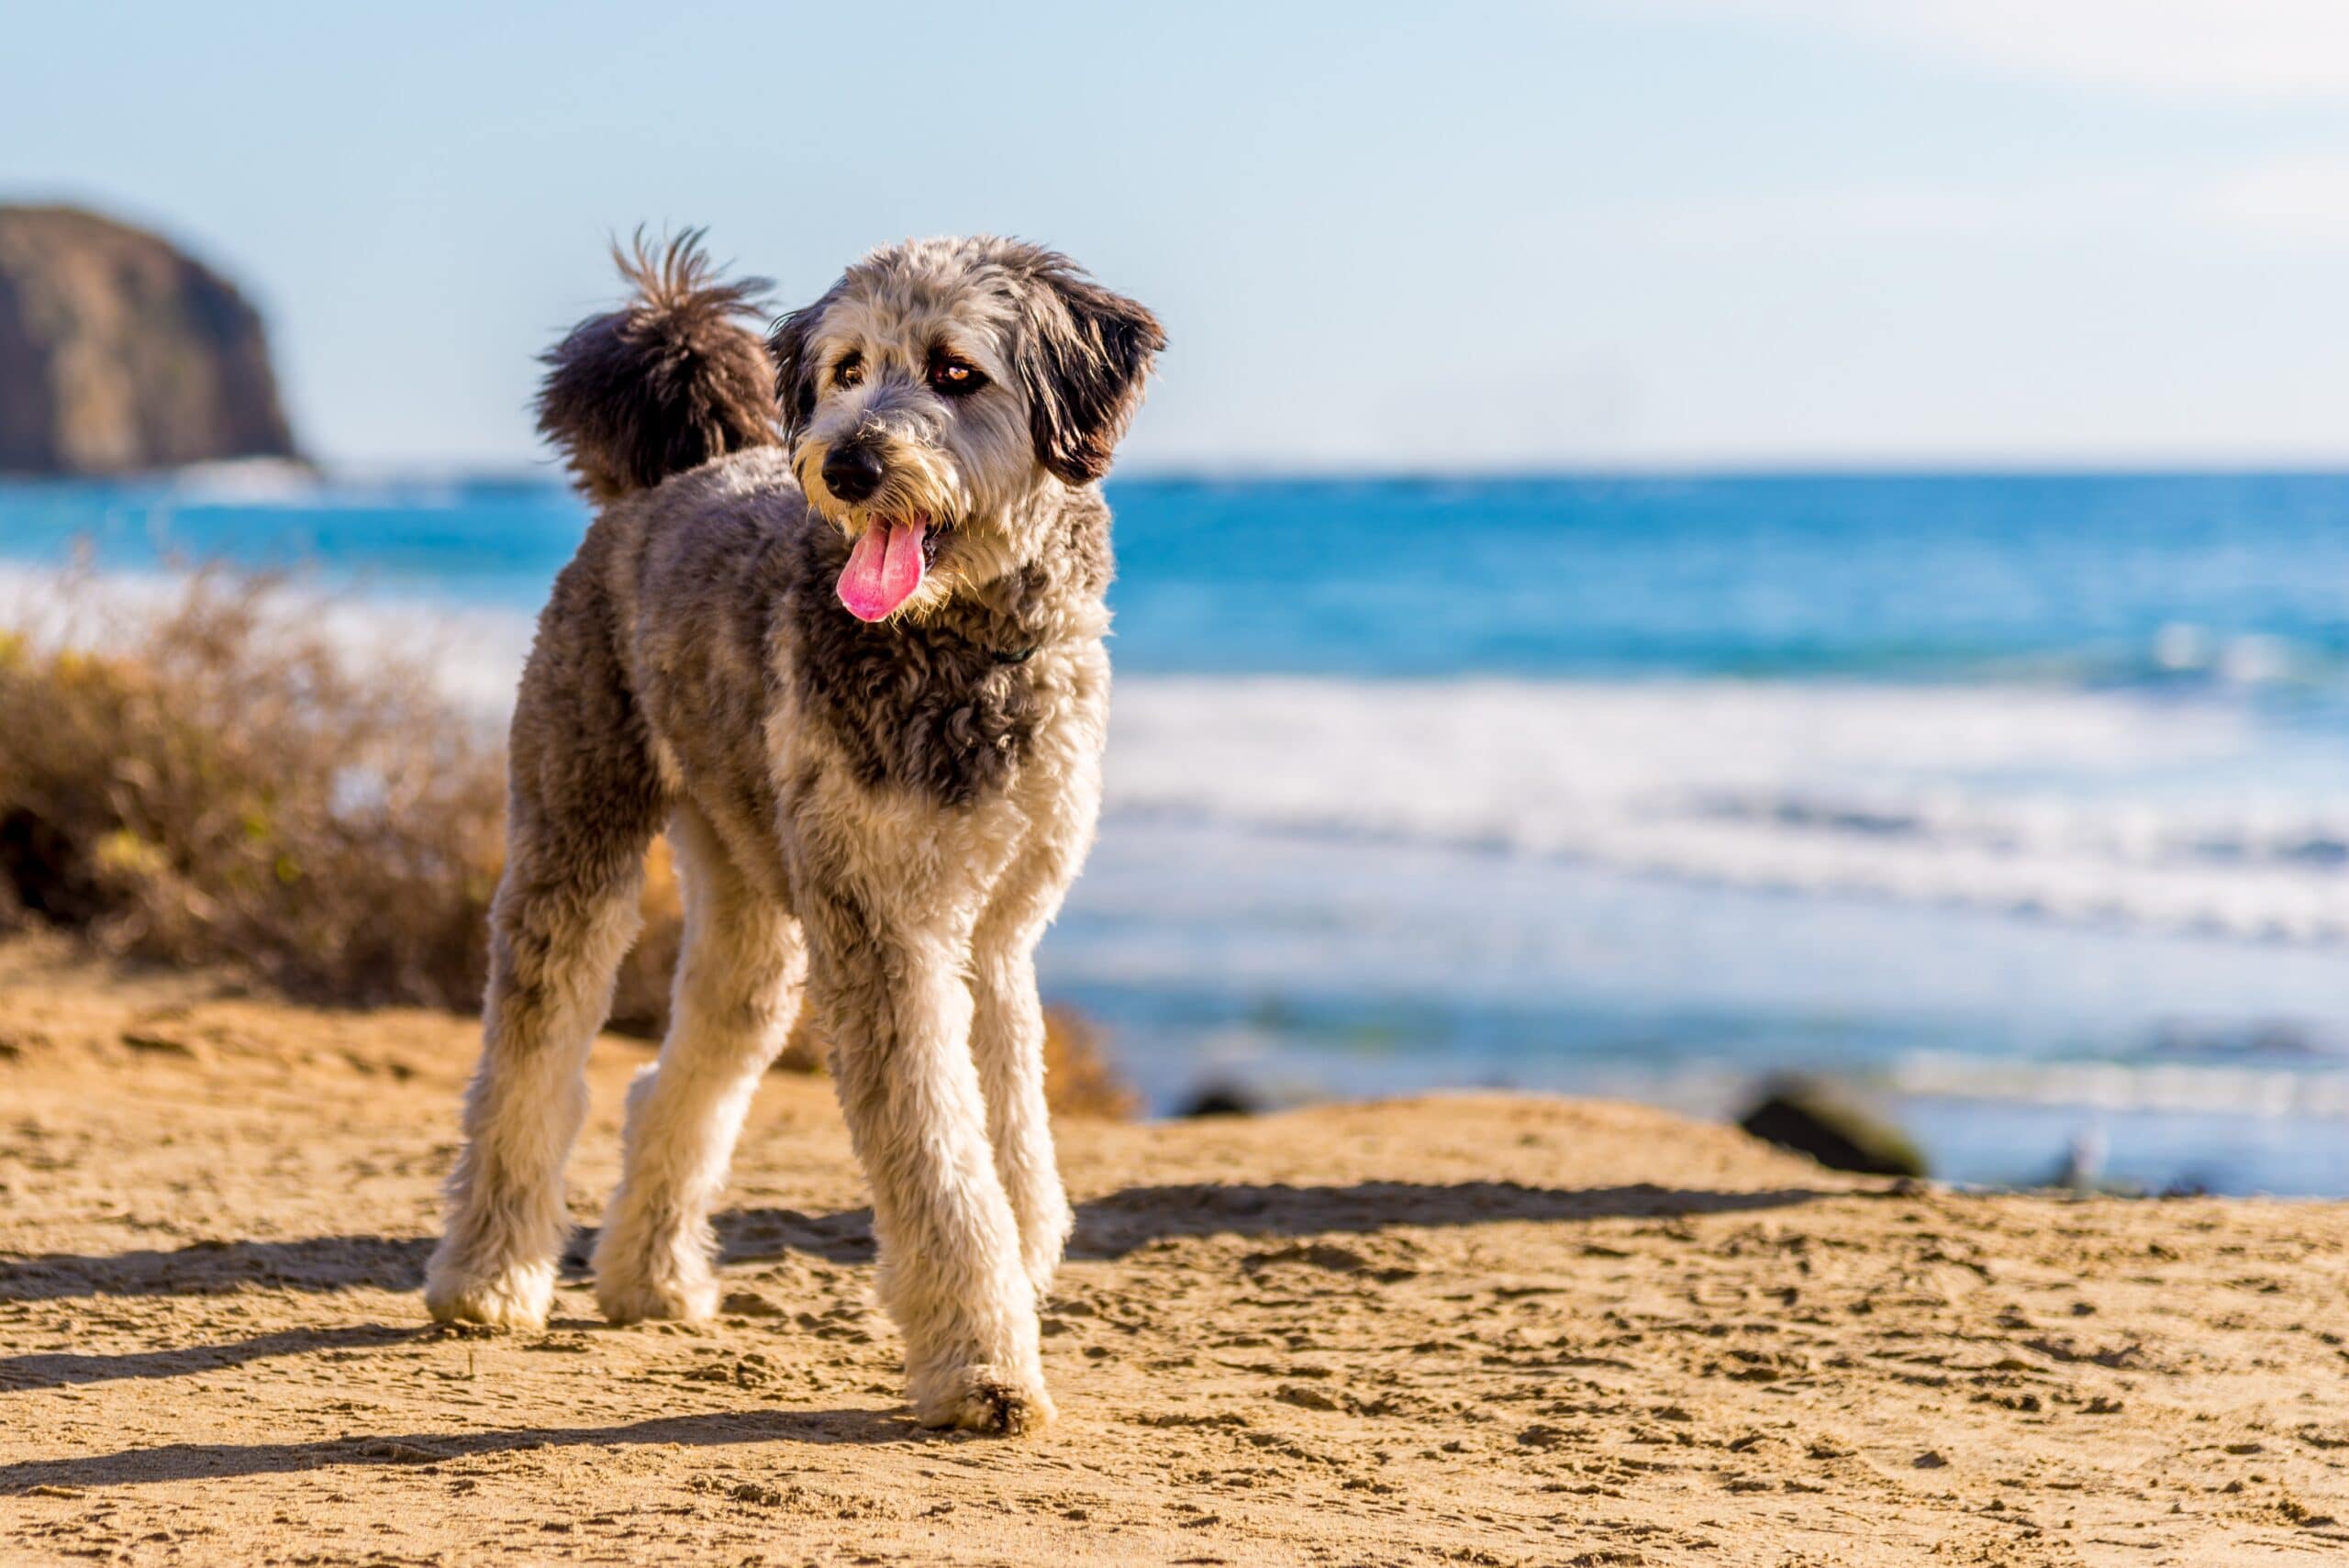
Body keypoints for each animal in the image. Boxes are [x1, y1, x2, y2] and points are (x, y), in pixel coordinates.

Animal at [422, 236, 1164, 1436]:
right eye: (847, 368)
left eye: (956, 371)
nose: (848, 464)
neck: (960, 649)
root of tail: (664, 481)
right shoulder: (886, 936)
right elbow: (942, 1158)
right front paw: (981, 1358)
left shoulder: (997, 932)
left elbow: (1011, 1132)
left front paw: (1020, 1261)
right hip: (577, 833)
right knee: (530, 1064)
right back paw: (488, 1273)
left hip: (752, 904)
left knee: (682, 1073)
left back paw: (649, 1273)